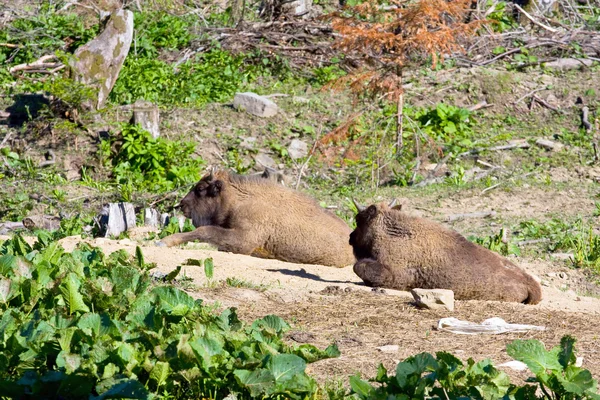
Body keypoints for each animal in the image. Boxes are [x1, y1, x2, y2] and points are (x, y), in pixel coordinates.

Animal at [158, 167, 356, 268]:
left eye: (200, 189)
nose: (182, 204)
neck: (238, 199)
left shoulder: (243, 239)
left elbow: (204, 231)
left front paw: (164, 242)